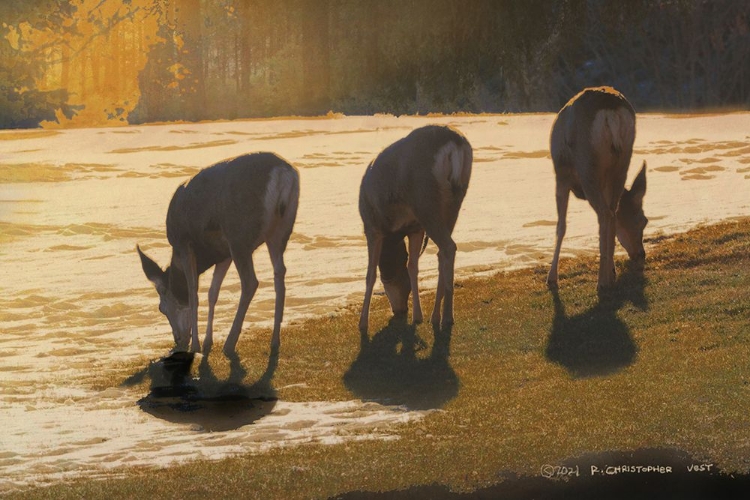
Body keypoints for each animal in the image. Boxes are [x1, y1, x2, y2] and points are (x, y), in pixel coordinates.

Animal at [137, 152, 302, 356]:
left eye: (161, 308)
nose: (178, 339)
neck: (206, 255)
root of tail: (282, 174)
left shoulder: (184, 242)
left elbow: (193, 292)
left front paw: (196, 346)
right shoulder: (223, 253)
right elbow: (212, 292)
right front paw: (208, 342)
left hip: (239, 235)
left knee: (250, 282)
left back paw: (230, 343)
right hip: (281, 230)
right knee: (279, 272)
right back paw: (274, 340)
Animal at [360, 125, 476, 336]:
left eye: (398, 283)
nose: (400, 310)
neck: (394, 232)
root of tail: (455, 145)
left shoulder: (371, 227)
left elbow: (370, 273)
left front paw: (363, 323)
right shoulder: (415, 228)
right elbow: (412, 266)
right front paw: (418, 316)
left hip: (425, 198)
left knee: (449, 247)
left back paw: (447, 317)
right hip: (455, 198)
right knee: (442, 251)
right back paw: (435, 316)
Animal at [548, 86, 652, 292]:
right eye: (644, 221)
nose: (640, 254)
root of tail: (611, 111)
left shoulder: (561, 176)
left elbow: (561, 226)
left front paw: (552, 278)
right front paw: (612, 270)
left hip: (588, 165)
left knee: (604, 213)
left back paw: (602, 282)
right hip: (622, 161)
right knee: (611, 211)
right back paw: (609, 275)